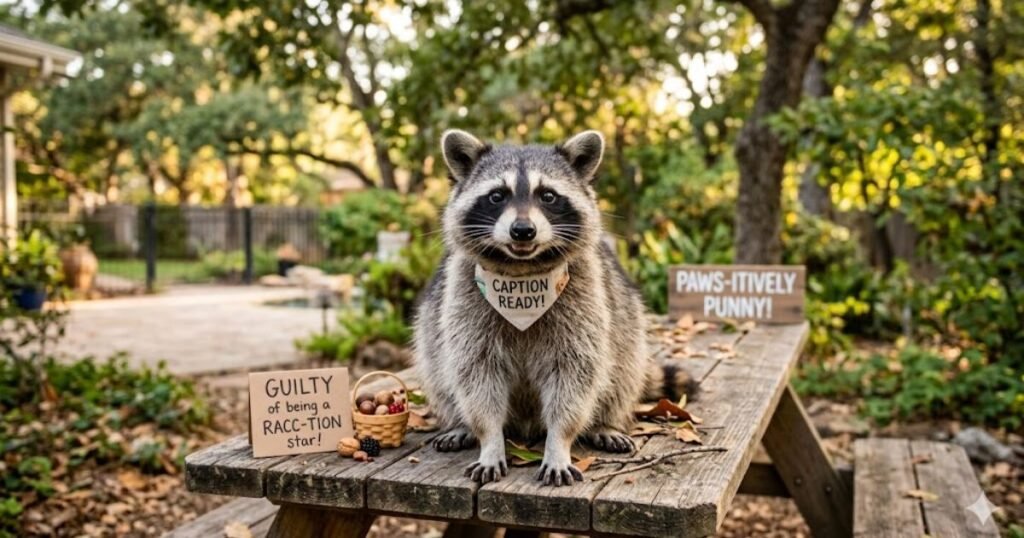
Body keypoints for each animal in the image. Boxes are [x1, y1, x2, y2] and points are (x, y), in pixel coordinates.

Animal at [414, 129, 678, 487]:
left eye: (548, 196)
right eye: (497, 196)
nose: (523, 231)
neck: (523, 272)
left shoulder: (585, 300)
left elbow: (574, 377)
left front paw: (559, 442)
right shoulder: (463, 301)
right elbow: (476, 375)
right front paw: (488, 438)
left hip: (626, 320)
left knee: (624, 370)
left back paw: (605, 422)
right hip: (433, 325)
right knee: (438, 369)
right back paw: (459, 423)